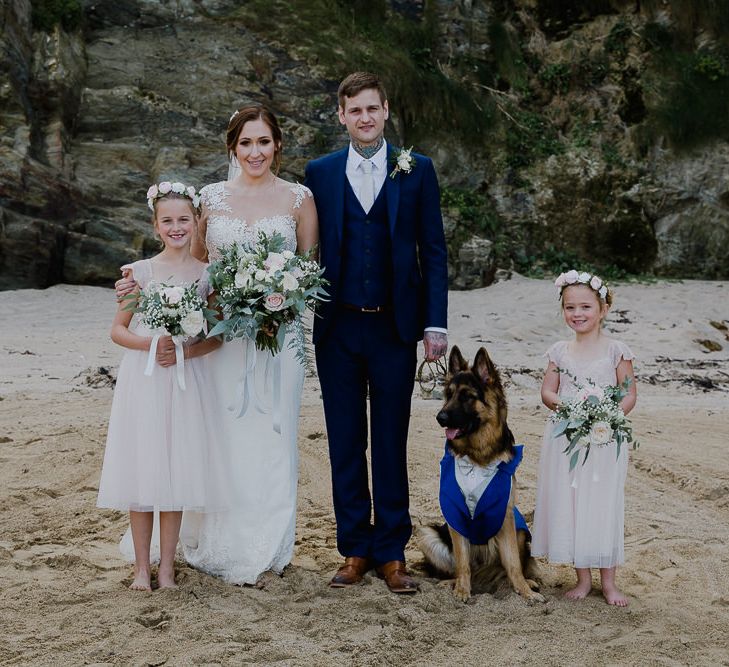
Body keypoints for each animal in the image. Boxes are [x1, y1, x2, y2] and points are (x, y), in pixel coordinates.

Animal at [418, 348, 544, 604]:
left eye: (467, 396)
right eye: (448, 395)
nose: (440, 418)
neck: (477, 457)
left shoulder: (504, 515)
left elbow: (513, 564)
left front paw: (524, 591)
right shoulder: (455, 515)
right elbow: (463, 563)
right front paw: (461, 591)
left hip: (520, 531)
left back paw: (527, 583)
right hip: (427, 535)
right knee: (460, 569)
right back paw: (450, 583)